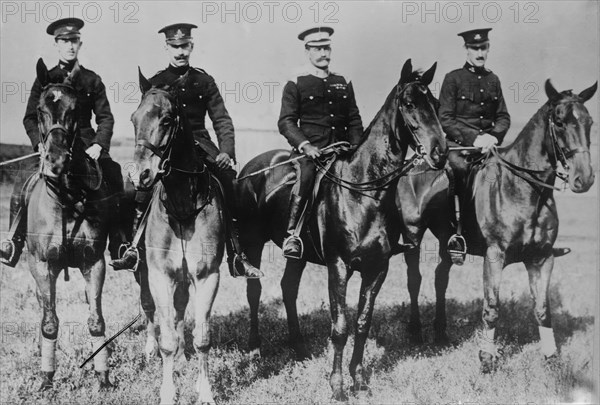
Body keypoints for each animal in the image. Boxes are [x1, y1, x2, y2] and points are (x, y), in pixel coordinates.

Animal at [26, 60, 115, 388]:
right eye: (40, 110)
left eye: (75, 110)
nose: (56, 161)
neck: (67, 197)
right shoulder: (42, 265)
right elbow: (50, 323)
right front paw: (47, 378)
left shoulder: (94, 263)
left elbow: (96, 321)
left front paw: (103, 378)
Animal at [130, 70, 224, 404]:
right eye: (134, 119)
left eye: (168, 119)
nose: (139, 175)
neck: (183, 207)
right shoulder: (159, 275)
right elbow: (167, 338)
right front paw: (168, 393)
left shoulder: (207, 276)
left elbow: (203, 338)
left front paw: (205, 391)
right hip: (144, 273)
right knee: (151, 310)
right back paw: (150, 349)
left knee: (182, 312)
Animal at [237, 60, 448, 398]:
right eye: (409, 103)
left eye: (436, 104)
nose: (440, 152)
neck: (364, 191)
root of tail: (252, 168)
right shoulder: (338, 266)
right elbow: (340, 327)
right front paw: (337, 386)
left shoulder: (377, 268)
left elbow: (362, 323)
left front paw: (359, 379)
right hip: (252, 242)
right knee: (254, 290)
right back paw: (255, 348)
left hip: (297, 255)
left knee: (288, 287)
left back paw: (298, 348)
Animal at [398, 77, 596, 370]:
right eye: (559, 122)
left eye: (589, 122)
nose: (584, 179)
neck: (525, 189)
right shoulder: (494, 256)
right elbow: (492, 307)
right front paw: (486, 357)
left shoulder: (542, 257)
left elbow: (542, 309)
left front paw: (551, 357)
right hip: (412, 235)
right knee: (414, 279)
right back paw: (415, 334)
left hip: (448, 244)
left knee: (440, 278)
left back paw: (441, 334)